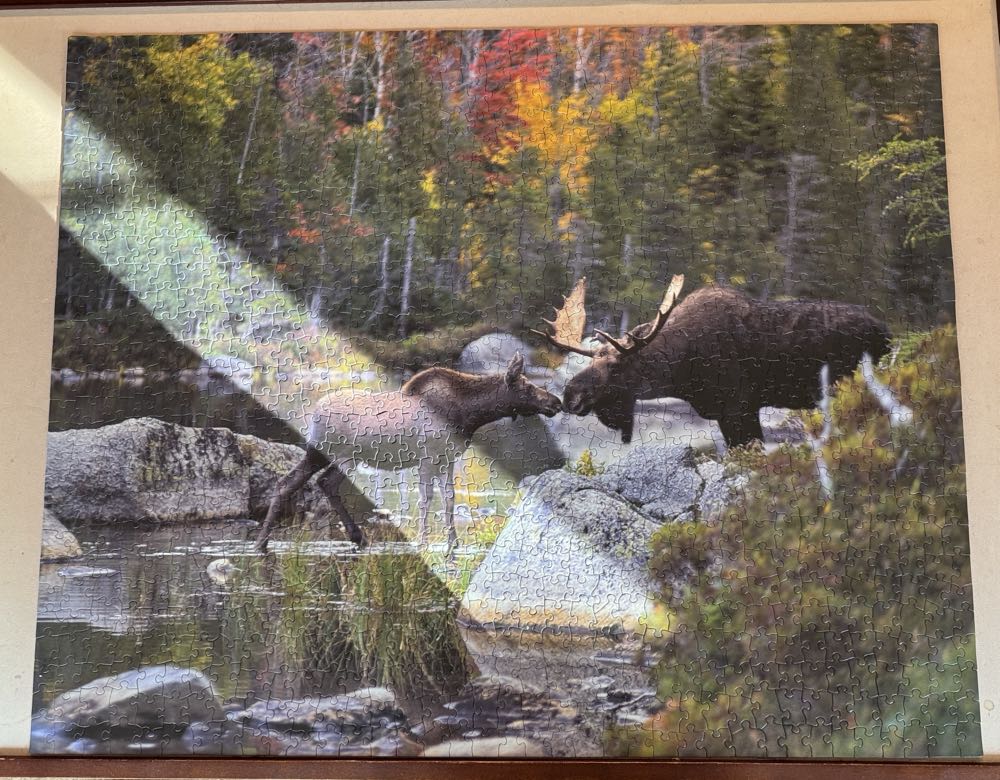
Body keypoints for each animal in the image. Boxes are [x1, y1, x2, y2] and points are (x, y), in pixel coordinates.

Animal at [253, 353, 561, 553]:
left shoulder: (448, 458)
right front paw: (424, 541)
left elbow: (449, 499)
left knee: (304, 483)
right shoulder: (427, 458)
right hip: (328, 454)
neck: (468, 414)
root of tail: (312, 414)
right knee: (307, 483)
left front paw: (453, 543)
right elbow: (426, 500)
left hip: (337, 457)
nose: (555, 402)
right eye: (526, 386)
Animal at [533, 275, 890, 448]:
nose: (570, 395)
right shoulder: (726, 413)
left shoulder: (739, 408)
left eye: (615, 366)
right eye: (592, 359)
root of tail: (885, 331)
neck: (681, 372)